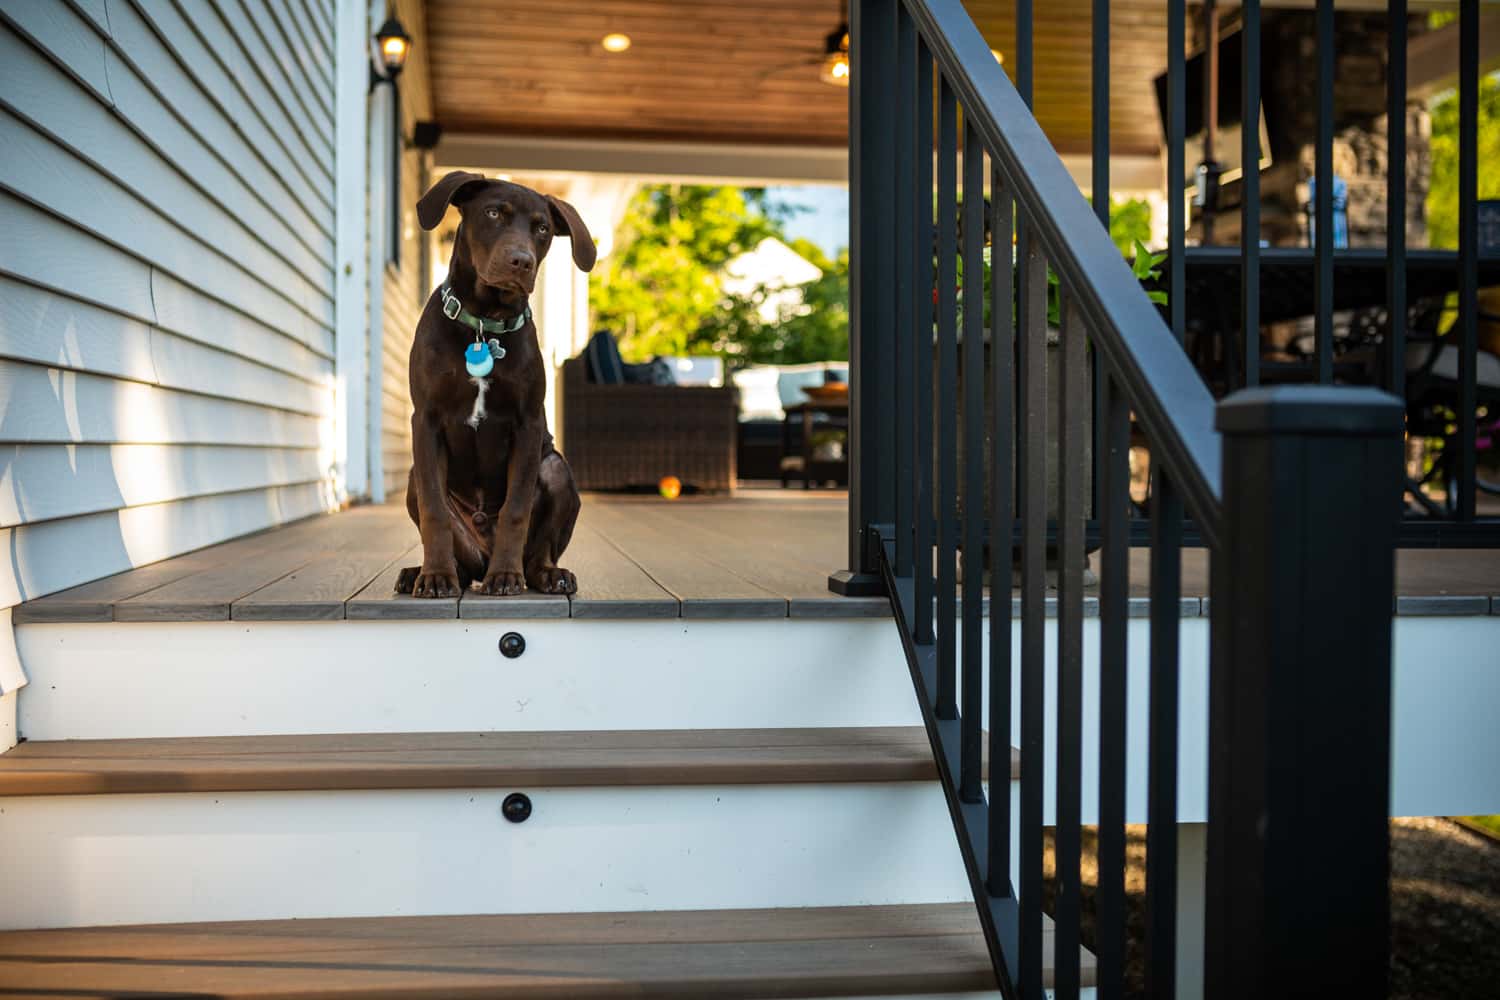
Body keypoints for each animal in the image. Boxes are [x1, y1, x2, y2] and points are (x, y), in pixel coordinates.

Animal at [395, 171, 594, 599]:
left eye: (542, 228)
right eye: (492, 213)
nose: (521, 261)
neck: (484, 325)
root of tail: (479, 558)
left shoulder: (527, 424)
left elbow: (515, 511)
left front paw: (505, 576)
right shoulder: (426, 421)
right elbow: (434, 512)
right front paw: (435, 576)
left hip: (556, 468)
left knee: (536, 554)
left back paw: (546, 574)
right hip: (414, 480)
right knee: (457, 555)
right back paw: (422, 572)